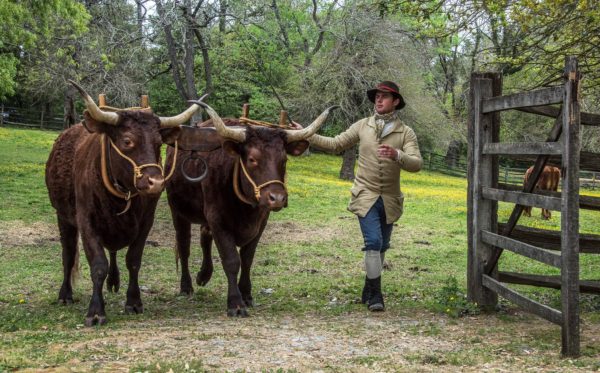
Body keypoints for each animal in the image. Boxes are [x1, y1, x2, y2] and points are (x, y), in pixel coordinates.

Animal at [47, 80, 202, 324]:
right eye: (127, 141)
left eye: (159, 143)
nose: (156, 182)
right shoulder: (86, 221)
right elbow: (98, 265)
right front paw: (96, 311)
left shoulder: (145, 223)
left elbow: (133, 260)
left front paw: (134, 301)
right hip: (63, 216)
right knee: (68, 254)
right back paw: (65, 295)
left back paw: (113, 282)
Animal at [164, 103, 336, 316]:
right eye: (252, 159)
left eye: (284, 160)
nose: (277, 198)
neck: (245, 207)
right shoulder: (218, 220)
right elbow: (231, 260)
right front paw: (235, 303)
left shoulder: (260, 222)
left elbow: (247, 258)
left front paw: (246, 294)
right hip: (178, 210)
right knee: (184, 246)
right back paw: (186, 286)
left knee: (204, 237)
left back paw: (204, 275)